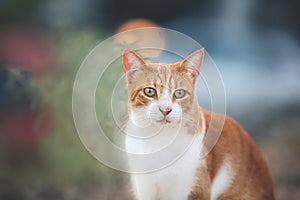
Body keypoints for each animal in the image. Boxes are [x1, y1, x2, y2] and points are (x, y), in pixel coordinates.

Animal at [122, 48, 274, 200]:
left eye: (179, 93)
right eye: (149, 91)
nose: (166, 109)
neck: (159, 140)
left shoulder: (194, 188)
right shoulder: (144, 188)